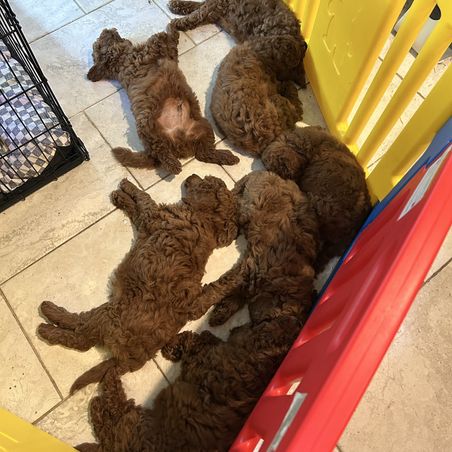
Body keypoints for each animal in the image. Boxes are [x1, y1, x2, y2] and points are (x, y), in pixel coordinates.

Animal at [37, 176, 239, 393]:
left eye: (204, 180)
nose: (191, 175)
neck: (204, 219)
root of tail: (135, 358)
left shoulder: (152, 216)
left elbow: (143, 199)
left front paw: (125, 187)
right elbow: (137, 205)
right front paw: (121, 196)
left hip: (110, 316)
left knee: (81, 336)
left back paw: (48, 320)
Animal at [75, 315, 301, 452]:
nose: (296, 322)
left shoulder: (201, 360)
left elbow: (194, 339)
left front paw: (172, 347)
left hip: (135, 426)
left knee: (113, 413)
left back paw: (104, 390)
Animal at [87, 26, 239, 174]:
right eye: (99, 44)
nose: (108, 29)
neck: (121, 59)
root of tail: (179, 143)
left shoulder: (167, 53)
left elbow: (170, 41)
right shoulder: (152, 49)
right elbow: (162, 35)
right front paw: (174, 29)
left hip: (203, 126)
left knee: (204, 154)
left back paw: (229, 157)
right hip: (147, 127)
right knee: (162, 153)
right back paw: (174, 166)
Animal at [168, 0, 308, 87]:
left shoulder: (214, 6)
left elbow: (196, 15)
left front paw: (177, 22)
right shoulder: (213, 7)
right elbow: (196, 5)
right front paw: (178, 5)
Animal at [191, 171, 319, 328]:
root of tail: (265, 172)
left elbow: (239, 293)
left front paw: (221, 312)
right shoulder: (252, 267)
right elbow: (223, 286)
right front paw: (198, 305)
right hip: (244, 203)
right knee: (229, 201)